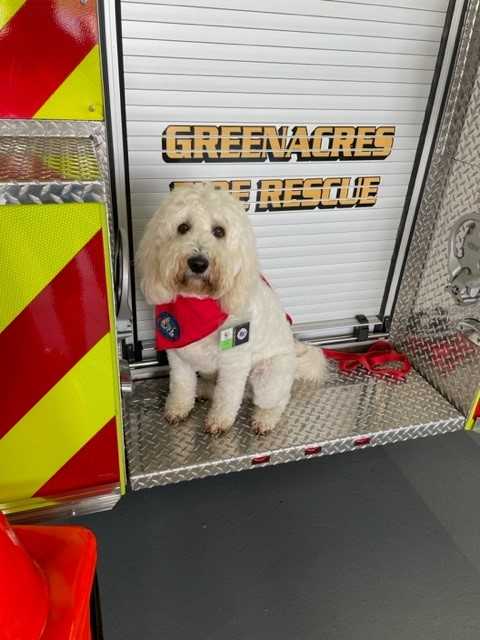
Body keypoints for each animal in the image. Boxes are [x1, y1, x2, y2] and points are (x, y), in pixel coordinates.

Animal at [138, 185, 326, 436]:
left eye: (219, 231)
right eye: (182, 227)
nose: (198, 263)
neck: (198, 302)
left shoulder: (234, 364)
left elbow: (227, 397)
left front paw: (219, 421)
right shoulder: (179, 358)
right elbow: (181, 386)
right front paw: (178, 408)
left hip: (267, 375)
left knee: (277, 400)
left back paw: (265, 418)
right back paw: (202, 391)